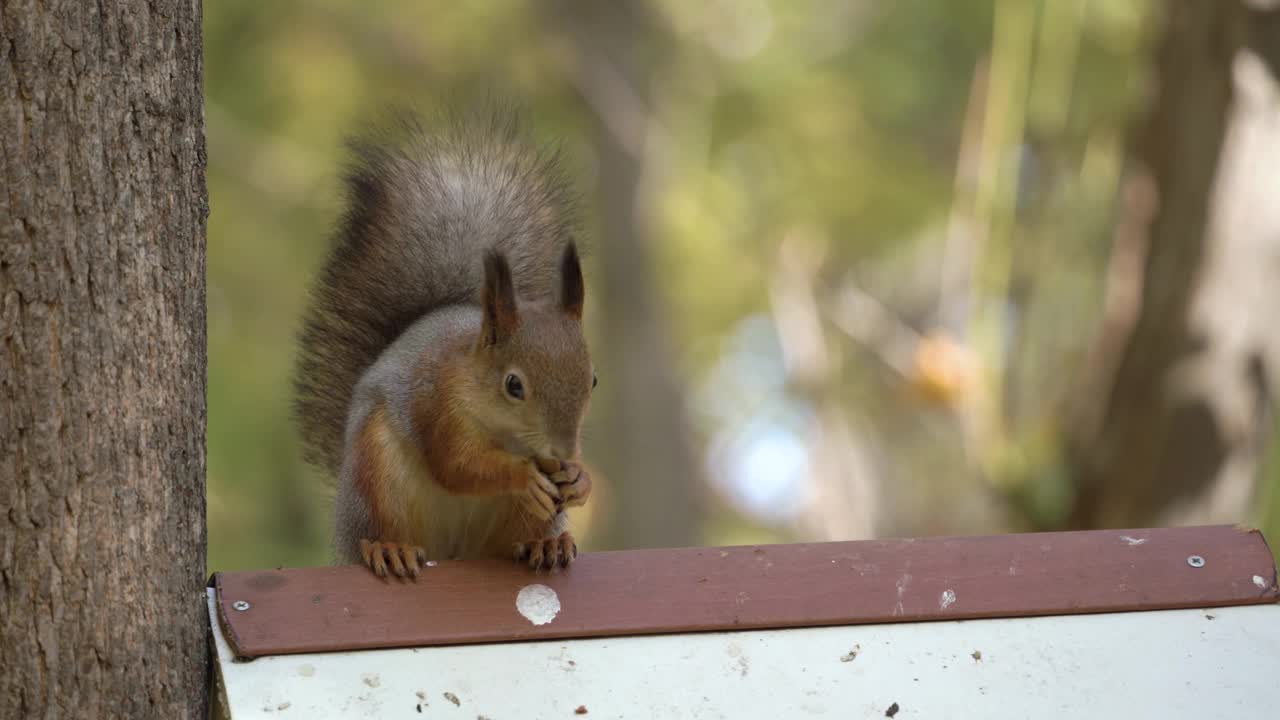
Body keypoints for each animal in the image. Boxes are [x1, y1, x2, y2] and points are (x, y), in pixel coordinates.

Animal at [296, 107, 596, 576]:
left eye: (593, 380)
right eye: (514, 385)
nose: (565, 449)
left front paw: (579, 479)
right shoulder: (436, 404)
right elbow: (456, 466)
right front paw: (522, 477)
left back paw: (546, 543)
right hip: (375, 475)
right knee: (380, 529)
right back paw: (388, 549)